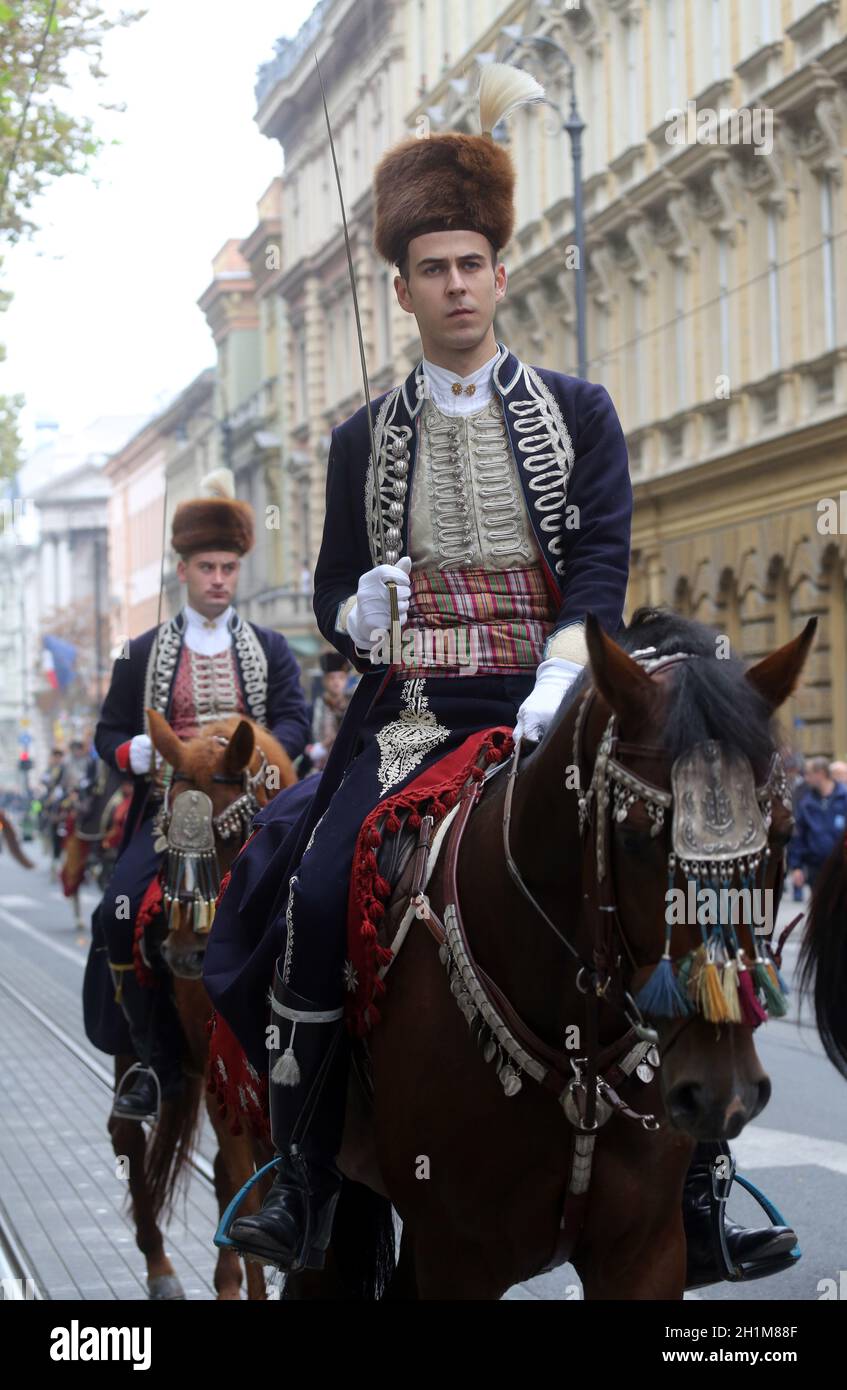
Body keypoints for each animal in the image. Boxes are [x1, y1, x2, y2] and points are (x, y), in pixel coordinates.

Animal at [109, 717, 293, 1301]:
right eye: (167, 830)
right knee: (126, 1133)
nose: (183, 955)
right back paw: (161, 1268)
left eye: (238, 831)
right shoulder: (224, 1090)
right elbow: (244, 1188)